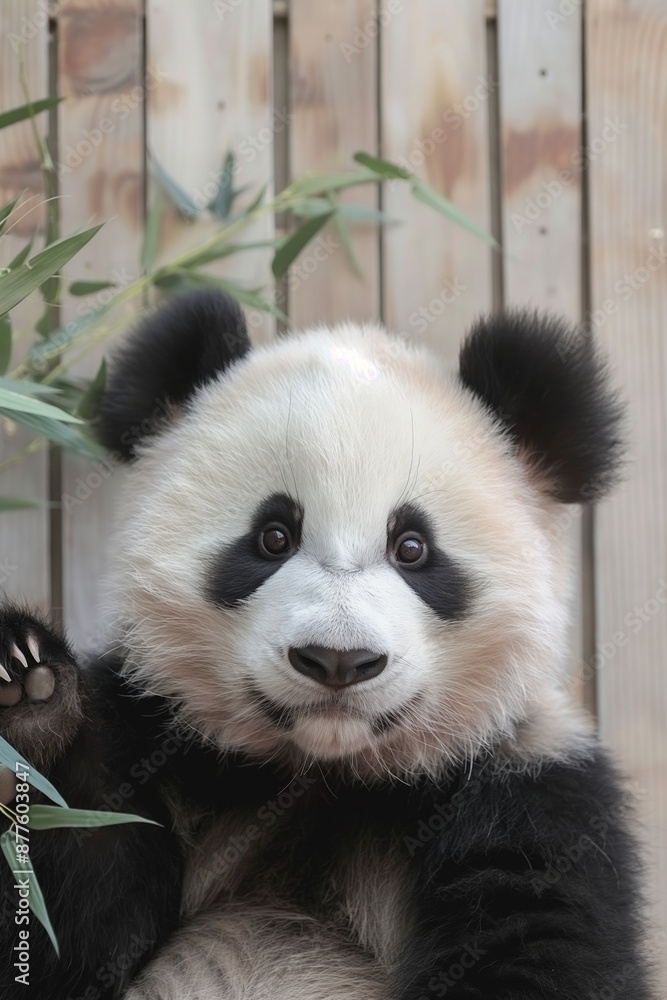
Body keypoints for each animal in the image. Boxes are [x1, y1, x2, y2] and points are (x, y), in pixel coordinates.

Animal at [0, 289, 654, 1000]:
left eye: (412, 547)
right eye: (273, 537)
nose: (339, 661)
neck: (322, 772)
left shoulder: (531, 786)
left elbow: (542, 944)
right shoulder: (159, 737)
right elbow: (70, 924)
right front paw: (29, 686)